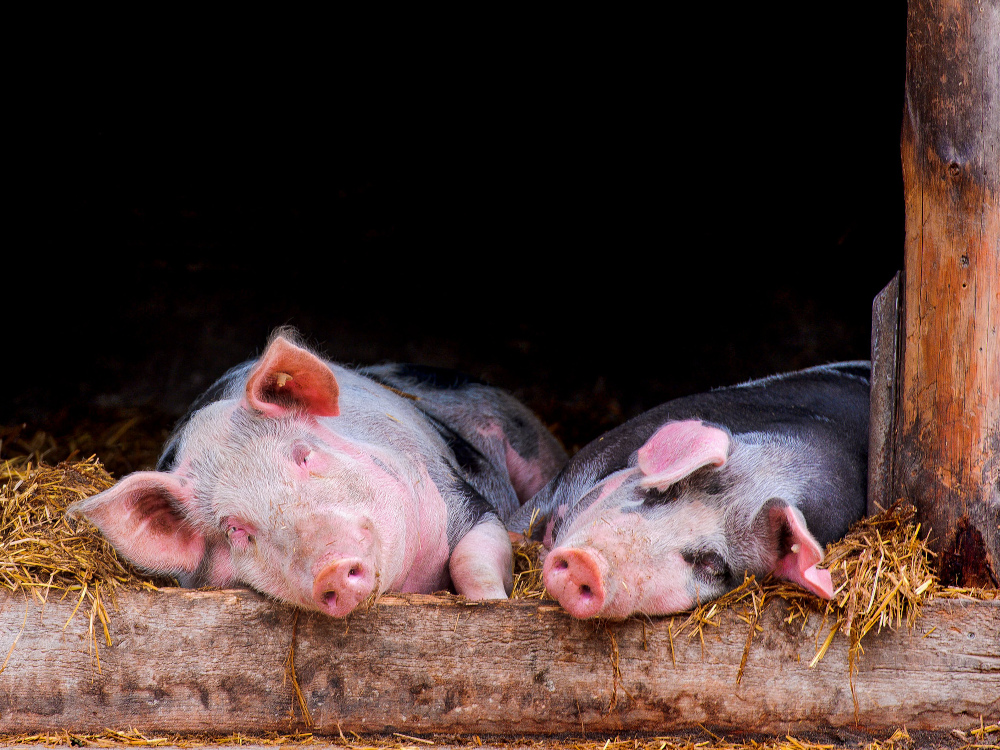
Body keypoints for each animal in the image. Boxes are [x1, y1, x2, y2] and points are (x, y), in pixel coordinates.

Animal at [68, 328, 567, 617]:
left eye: (304, 456)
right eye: (234, 529)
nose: (330, 567)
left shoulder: (462, 498)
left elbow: (473, 561)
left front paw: (495, 604)